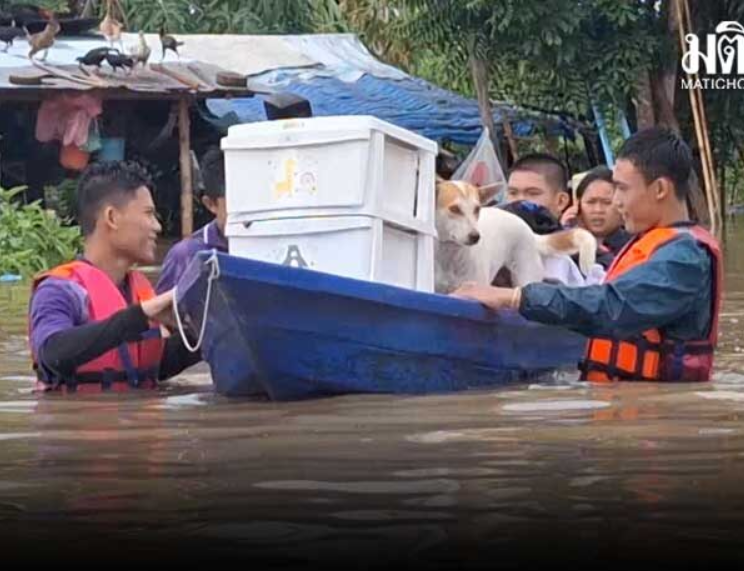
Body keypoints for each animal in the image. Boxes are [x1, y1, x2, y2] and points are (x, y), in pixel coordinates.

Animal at [436, 180, 600, 294]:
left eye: (477, 209)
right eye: (454, 209)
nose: (475, 237)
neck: (450, 255)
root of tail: (529, 231)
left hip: (526, 277)